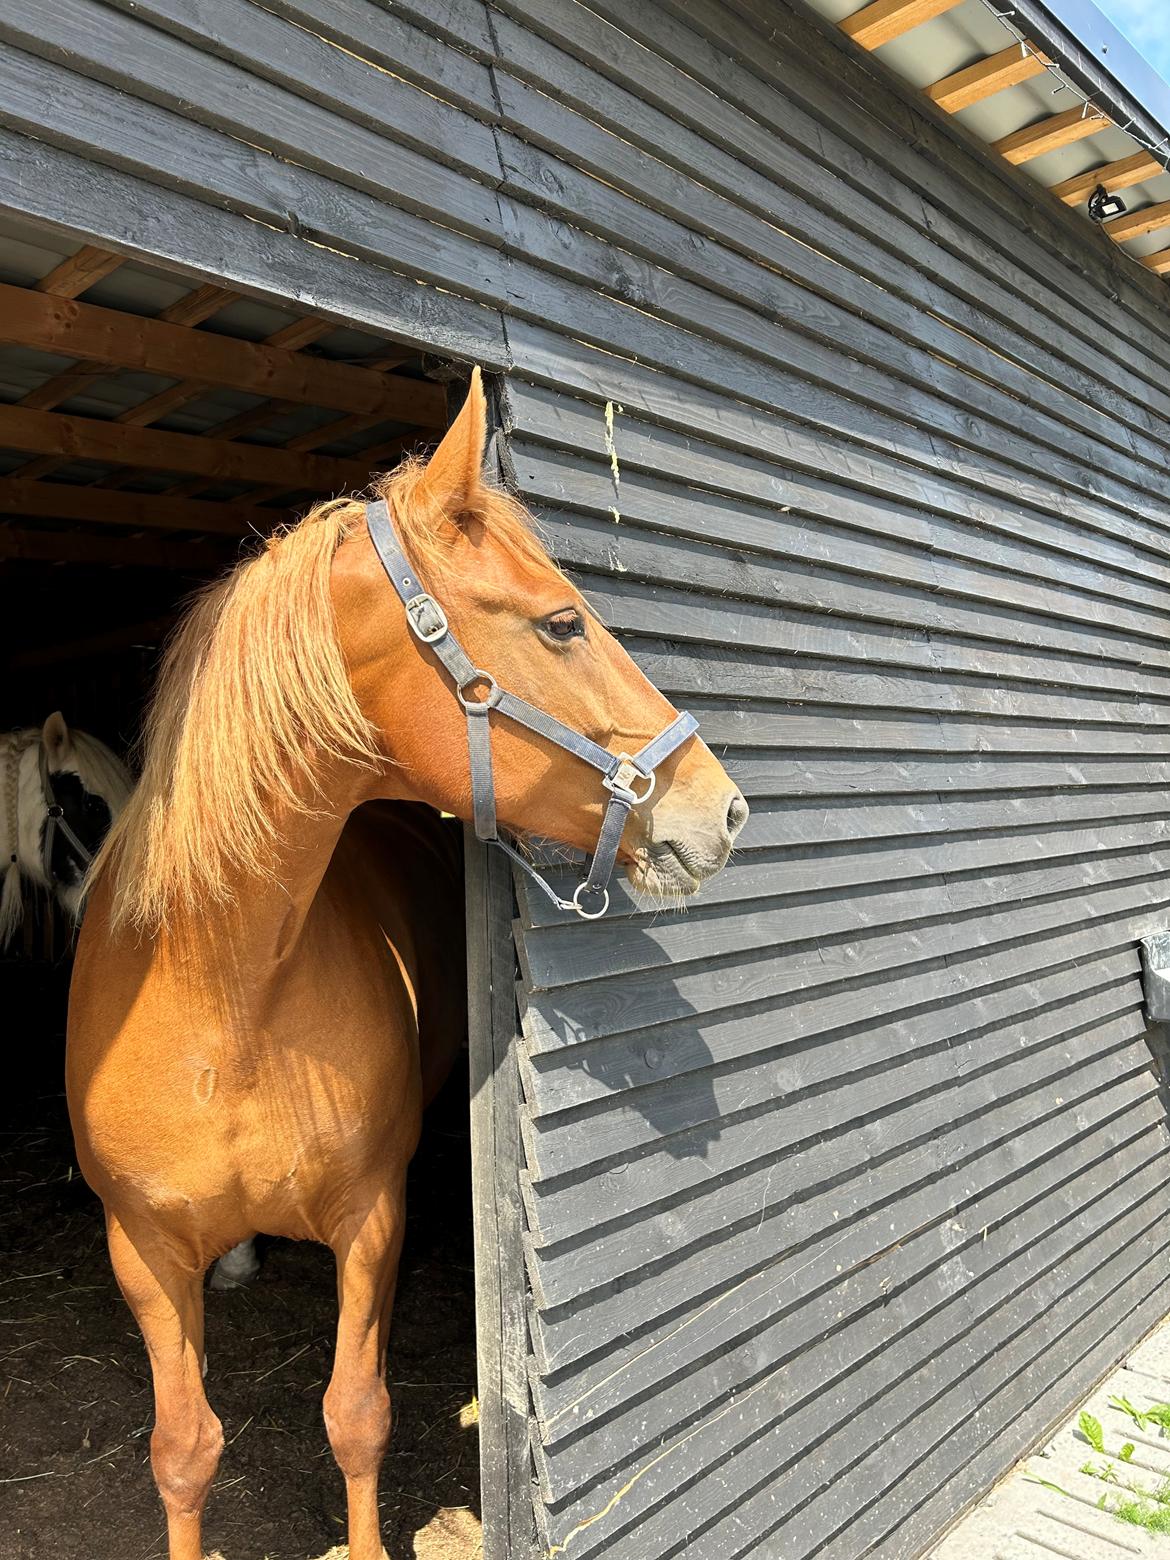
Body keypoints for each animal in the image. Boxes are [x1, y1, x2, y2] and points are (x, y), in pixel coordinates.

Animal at [68, 368, 745, 1560]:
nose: (725, 810)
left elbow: (356, 1414)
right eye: (562, 622)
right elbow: (184, 1450)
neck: (225, 992)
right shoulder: (140, 1250)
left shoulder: (370, 1222)